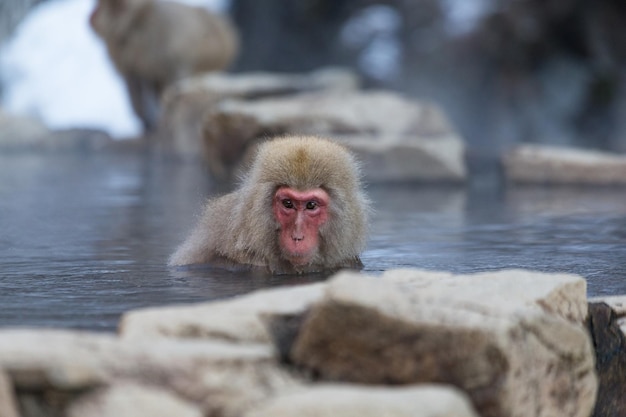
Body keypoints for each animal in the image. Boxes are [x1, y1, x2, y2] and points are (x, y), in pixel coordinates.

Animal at [91, 0, 239, 131]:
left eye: (103, 6)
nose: (92, 17)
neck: (136, 23)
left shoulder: (165, 39)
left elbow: (174, 72)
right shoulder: (122, 52)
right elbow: (132, 78)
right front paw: (145, 120)